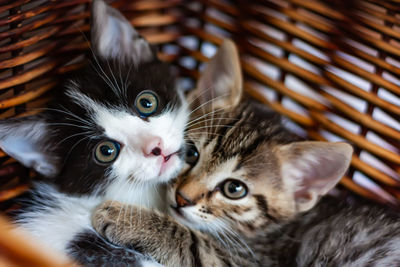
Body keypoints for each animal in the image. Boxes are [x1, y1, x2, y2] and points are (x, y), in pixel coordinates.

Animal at [91, 40, 400, 267]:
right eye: (191, 154)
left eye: (234, 189)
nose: (182, 198)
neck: (271, 234)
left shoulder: (250, 262)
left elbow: (193, 242)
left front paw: (127, 219)